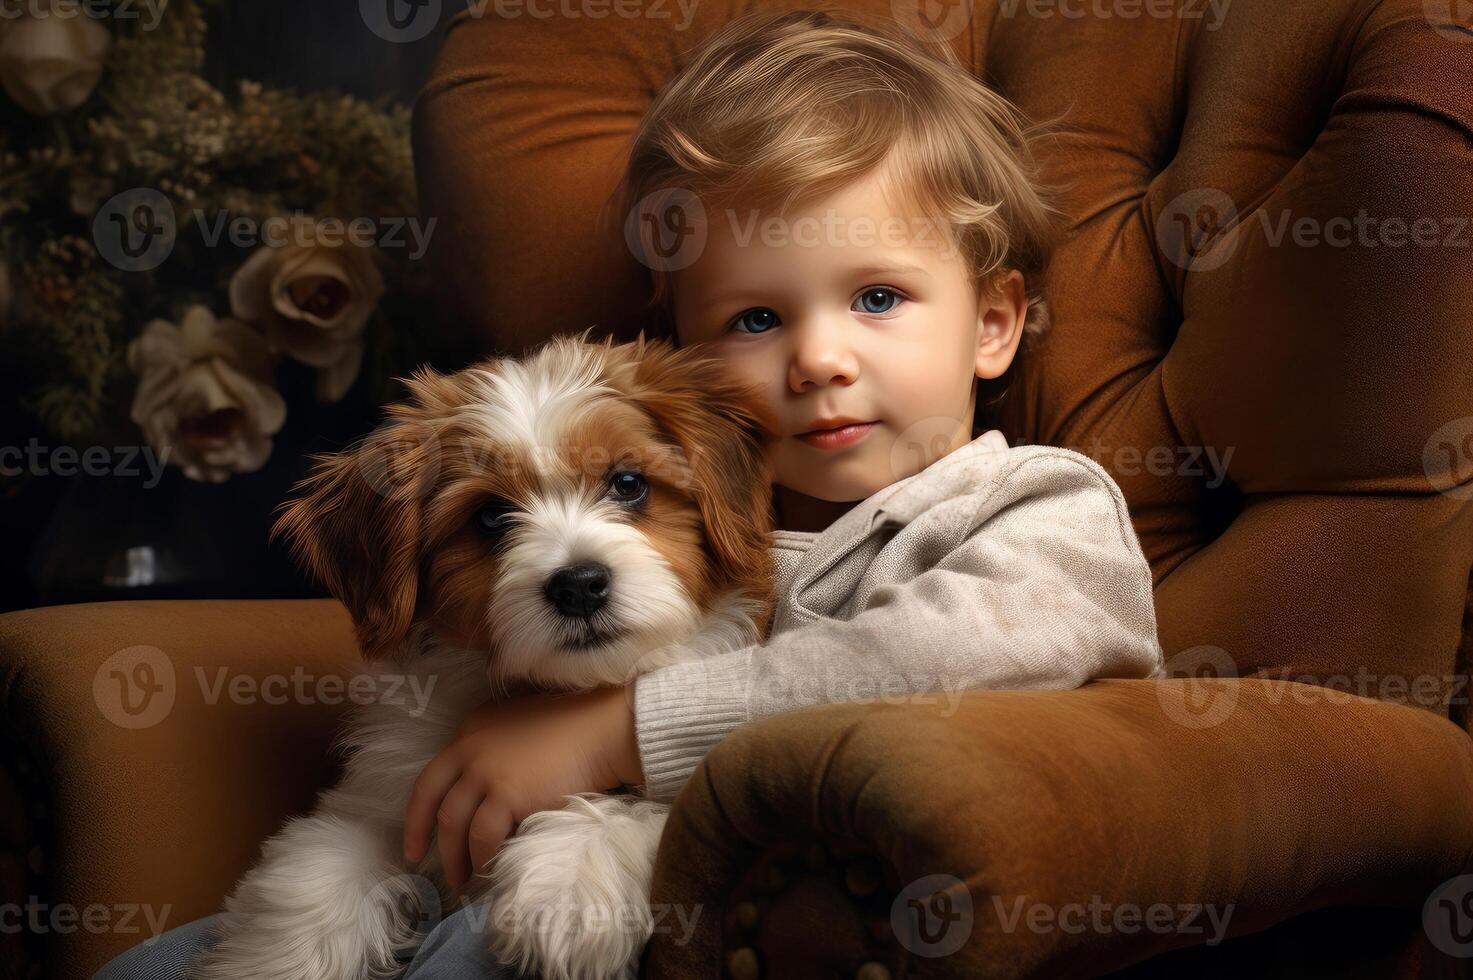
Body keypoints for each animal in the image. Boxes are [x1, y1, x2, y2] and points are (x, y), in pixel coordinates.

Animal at [195, 330, 783, 978]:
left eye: (629, 484)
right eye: (489, 516)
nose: (579, 584)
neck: (545, 689)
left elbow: (650, 801)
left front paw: (570, 885)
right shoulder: (381, 807)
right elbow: (316, 875)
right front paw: (271, 965)